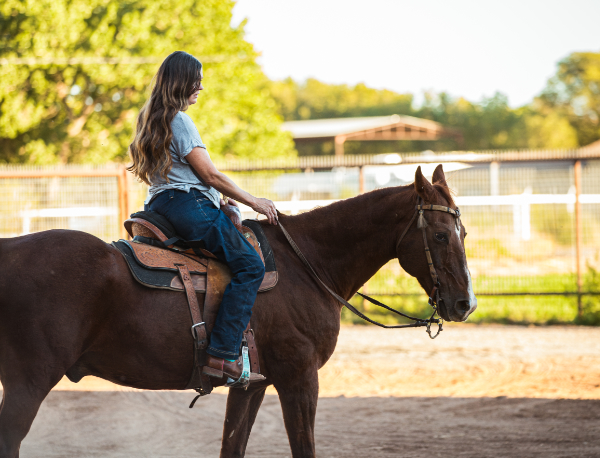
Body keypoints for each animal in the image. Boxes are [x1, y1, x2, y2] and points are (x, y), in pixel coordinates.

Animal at [1, 165, 478, 458]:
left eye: (465, 231)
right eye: (439, 235)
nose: (464, 303)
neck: (308, 264)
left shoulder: (252, 385)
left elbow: (233, 445)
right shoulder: (299, 378)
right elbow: (303, 447)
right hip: (28, 383)